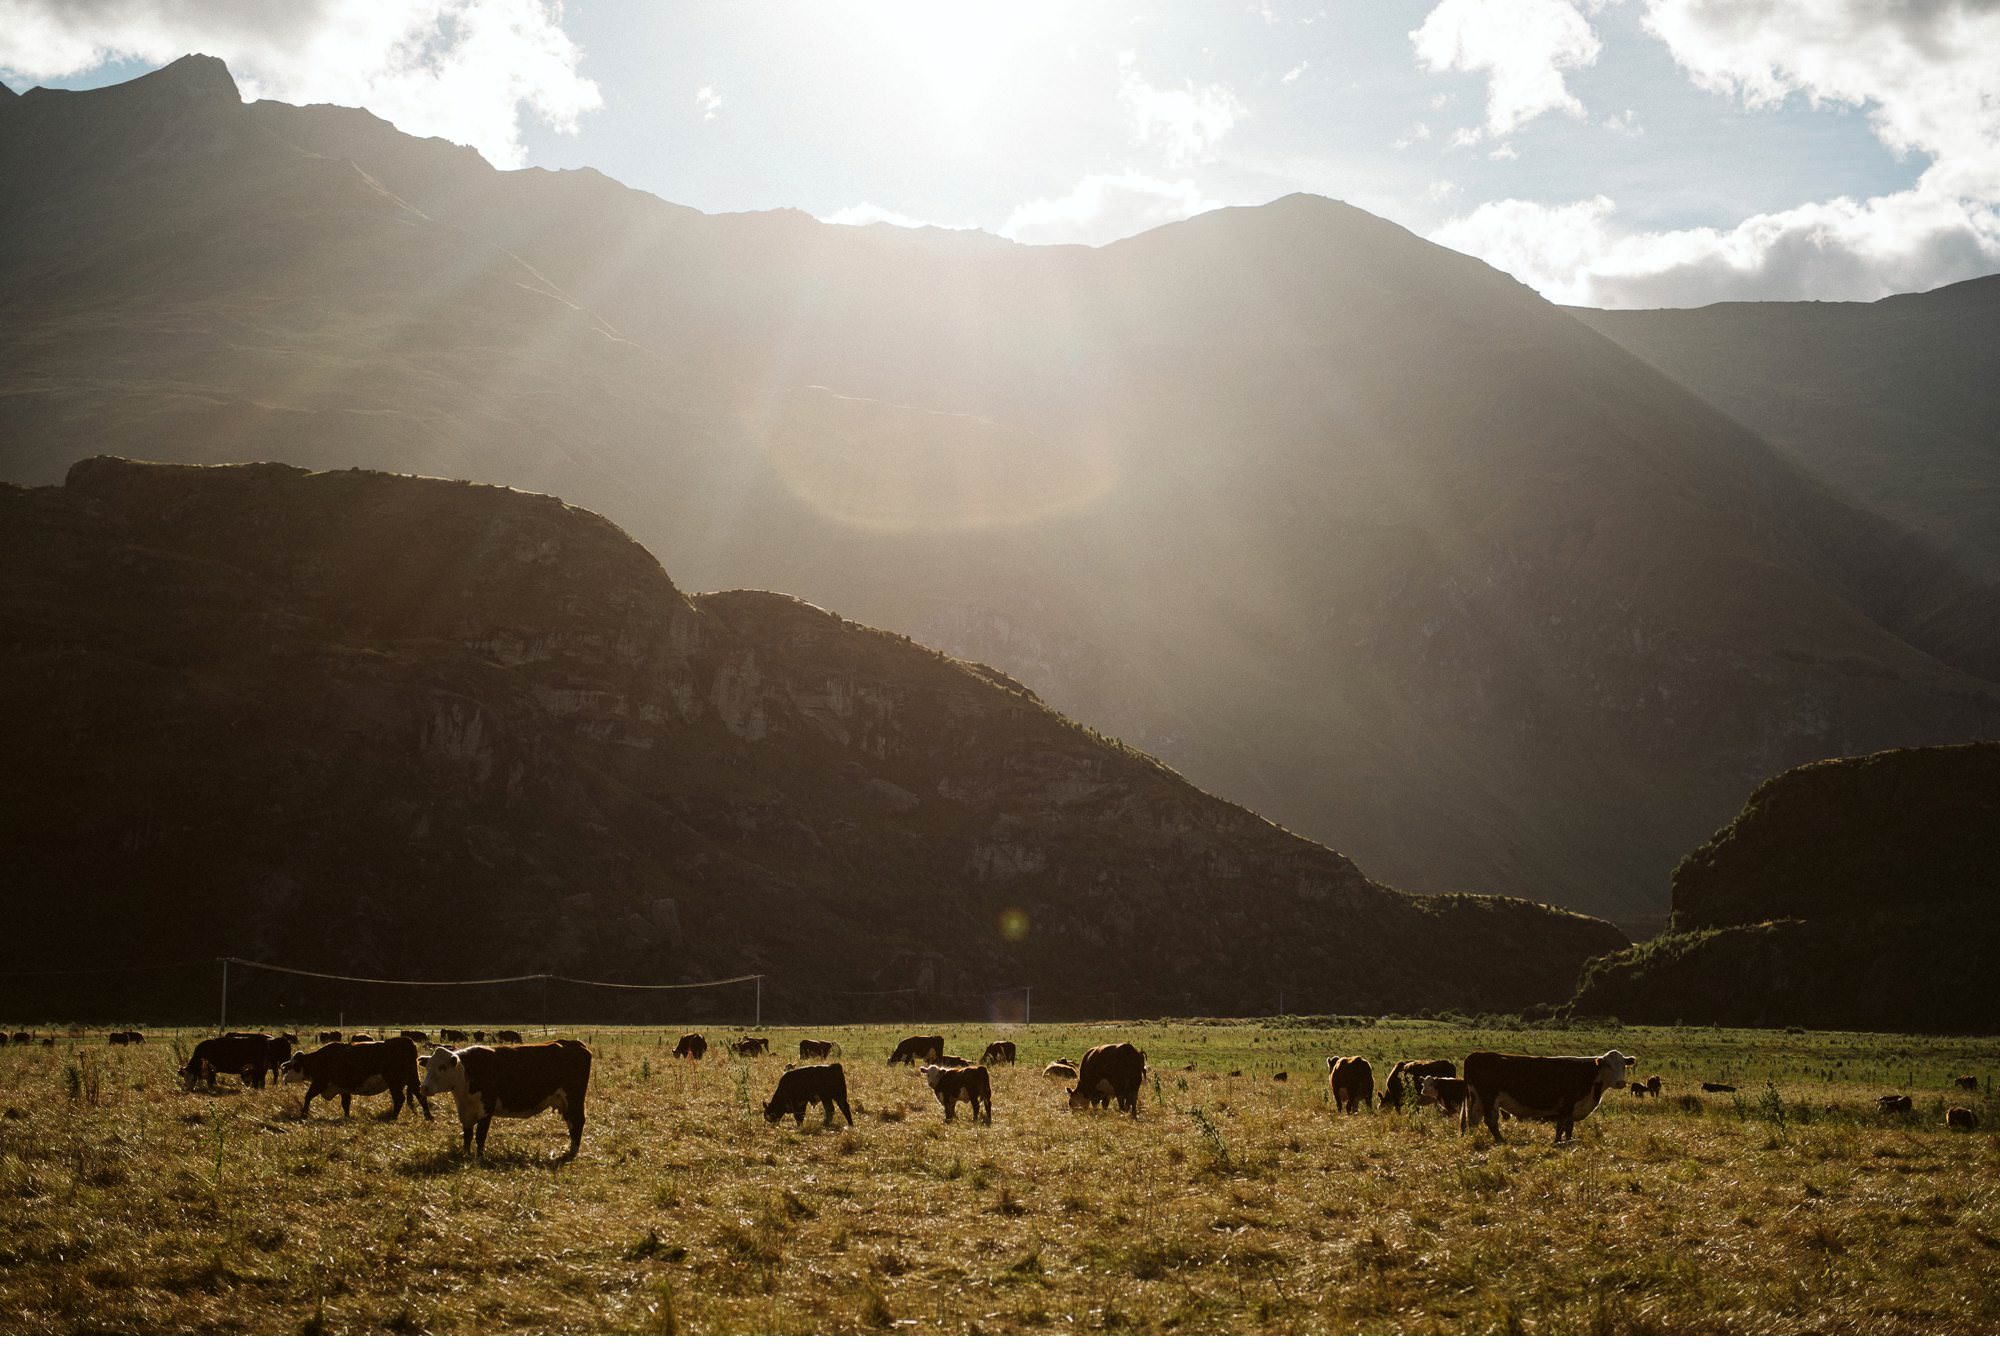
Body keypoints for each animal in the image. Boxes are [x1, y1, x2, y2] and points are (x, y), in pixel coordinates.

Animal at [280, 1040, 432, 1128]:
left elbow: (308, 1096)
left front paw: (303, 1115)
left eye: (293, 1065)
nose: (285, 1077)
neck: (319, 1060)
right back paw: (428, 1116)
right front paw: (346, 1118)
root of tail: (406, 1041)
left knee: (399, 1099)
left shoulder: (319, 1083)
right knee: (420, 1096)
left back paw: (393, 1117)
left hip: (394, 1082)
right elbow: (346, 1104)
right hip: (411, 1079)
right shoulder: (343, 1088)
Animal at [414, 1040, 584, 1160]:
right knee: (571, 1123)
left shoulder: (486, 1110)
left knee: (578, 1122)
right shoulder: (465, 1112)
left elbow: (480, 1135)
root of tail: (575, 1044)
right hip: (565, 1103)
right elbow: (467, 1135)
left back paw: (573, 1152)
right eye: (427, 1066)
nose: (424, 1088)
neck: (466, 1073)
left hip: (574, 1099)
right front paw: (466, 1155)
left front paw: (480, 1158)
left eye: (442, 1067)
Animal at [1464, 1048, 1632, 1144]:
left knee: (1473, 1120)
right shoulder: (1567, 1103)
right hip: (1489, 1098)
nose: (1621, 1083)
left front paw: (1568, 1141)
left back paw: (1472, 1138)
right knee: (1491, 1120)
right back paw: (1501, 1141)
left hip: (1478, 1099)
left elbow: (1569, 1128)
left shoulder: (1572, 1108)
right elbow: (1561, 1126)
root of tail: (1476, 1055)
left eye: (1624, 1065)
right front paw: (1557, 1142)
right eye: (1608, 1065)